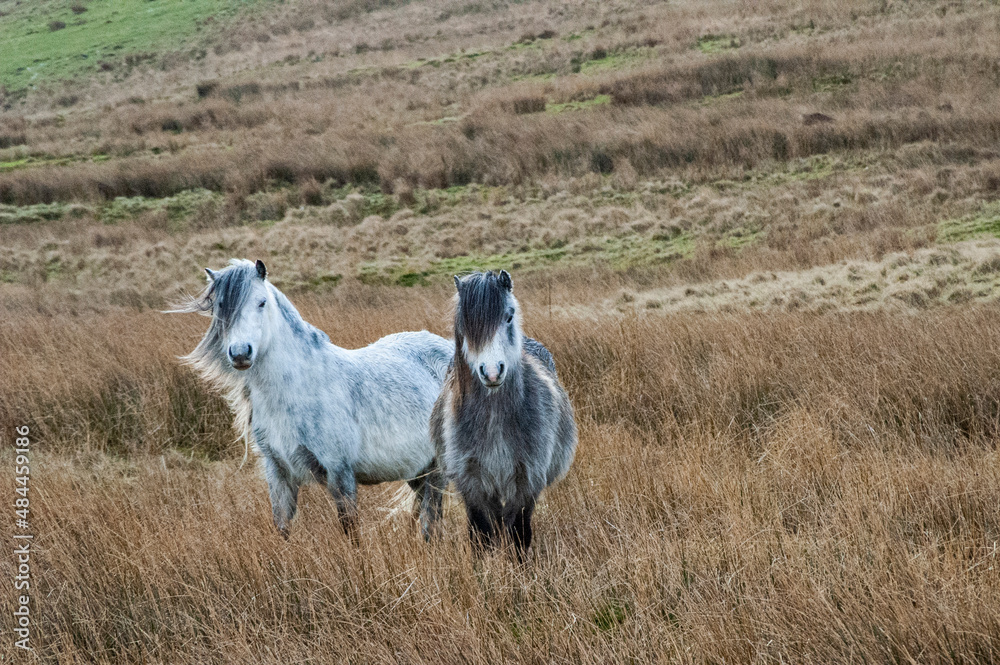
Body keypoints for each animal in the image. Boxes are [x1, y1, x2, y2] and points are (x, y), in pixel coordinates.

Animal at [173, 259, 451, 539]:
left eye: (262, 303)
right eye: (219, 306)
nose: (240, 354)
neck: (298, 389)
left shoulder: (340, 472)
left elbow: (351, 531)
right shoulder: (278, 473)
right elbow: (282, 528)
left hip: (437, 468)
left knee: (432, 522)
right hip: (418, 470)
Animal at [429, 270, 577, 557]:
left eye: (509, 316)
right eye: (465, 323)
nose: (492, 372)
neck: (494, 416)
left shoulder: (526, 481)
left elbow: (519, 534)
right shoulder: (472, 484)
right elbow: (482, 536)